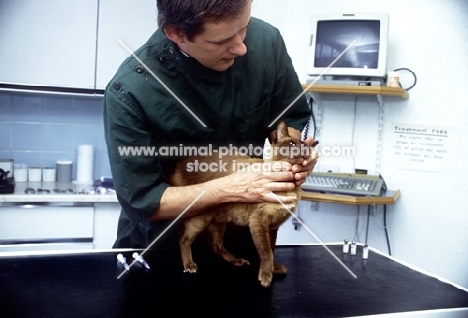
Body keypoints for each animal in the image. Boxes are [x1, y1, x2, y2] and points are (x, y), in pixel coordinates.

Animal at [169, 120, 314, 286]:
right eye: (291, 143)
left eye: (305, 145)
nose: (305, 149)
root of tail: (179, 165)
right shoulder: (258, 222)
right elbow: (266, 253)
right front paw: (266, 277)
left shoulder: (272, 227)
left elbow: (272, 250)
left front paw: (274, 269)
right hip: (199, 219)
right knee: (183, 239)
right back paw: (189, 265)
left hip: (218, 220)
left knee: (215, 244)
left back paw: (237, 261)